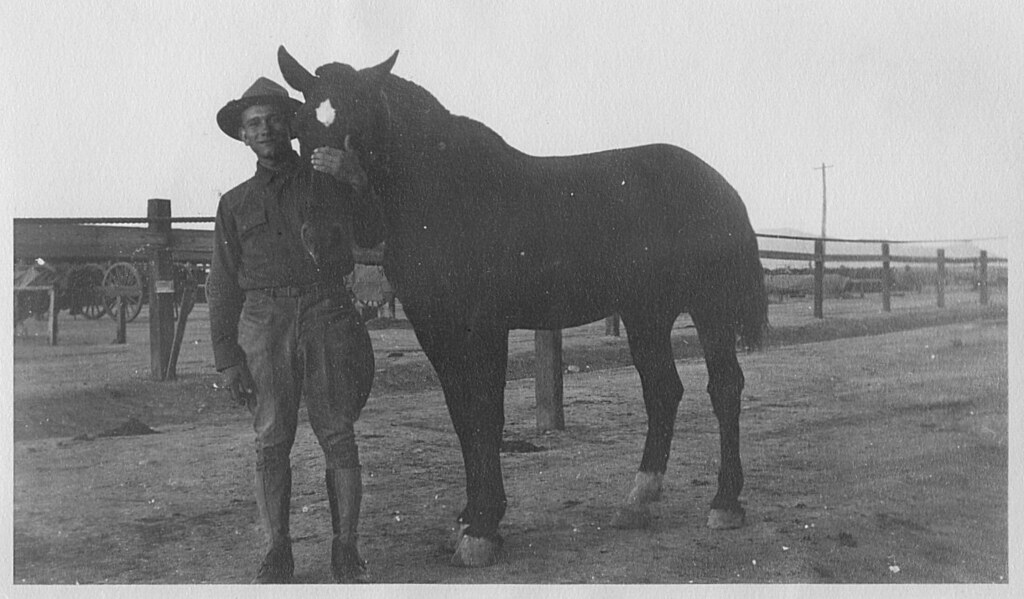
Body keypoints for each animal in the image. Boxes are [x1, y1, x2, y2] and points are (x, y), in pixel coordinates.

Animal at [278, 47, 768, 567]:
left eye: (362, 126)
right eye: (300, 127)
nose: (322, 238)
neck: (448, 195)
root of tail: (719, 185)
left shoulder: (485, 328)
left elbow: (485, 416)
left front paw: (483, 528)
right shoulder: (435, 330)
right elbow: (462, 416)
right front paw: (470, 516)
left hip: (710, 309)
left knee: (724, 388)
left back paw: (725, 502)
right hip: (646, 315)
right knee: (663, 391)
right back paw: (638, 501)